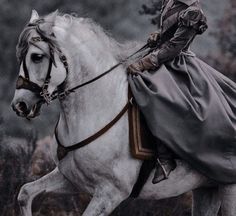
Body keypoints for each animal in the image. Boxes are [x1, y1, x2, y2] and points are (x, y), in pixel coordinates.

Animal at [11, 10, 236, 216]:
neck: (99, 106)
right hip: (207, 188)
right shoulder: (69, 179)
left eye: (37, 57)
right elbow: (25, 192)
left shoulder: (109, 194)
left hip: (229, 188)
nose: (19, 105)